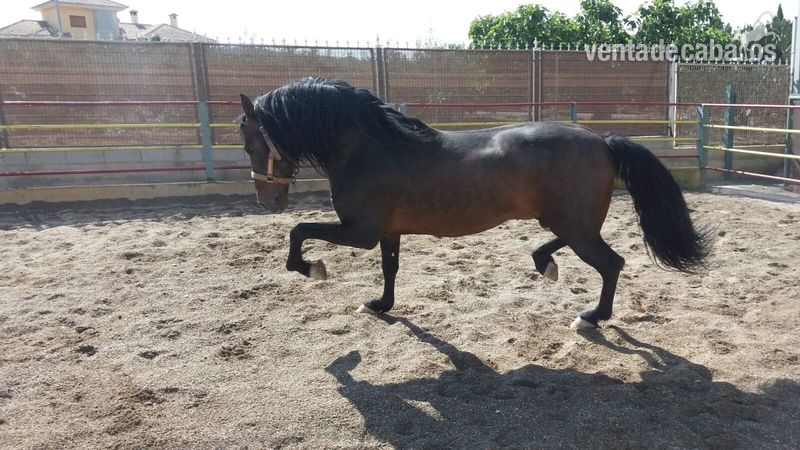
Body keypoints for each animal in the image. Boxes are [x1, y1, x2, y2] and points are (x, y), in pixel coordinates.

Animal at [238, 77, 708, 329]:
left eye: (249, 140)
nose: (268, 201)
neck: (369, 148)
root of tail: (602, 140)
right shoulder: (388, 231)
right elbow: (390, 269)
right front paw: (380, 305)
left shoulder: (360, 231)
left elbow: (298, 232)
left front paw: (312, 269)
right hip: (565, 220)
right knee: (574, 248)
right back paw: (545, 264)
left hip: (574, 224)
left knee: (611, 263)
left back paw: (590, 316)